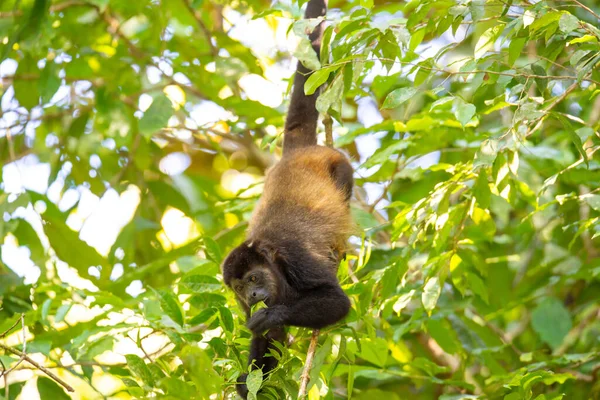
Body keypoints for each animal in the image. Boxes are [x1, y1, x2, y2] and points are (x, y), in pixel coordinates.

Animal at [220, 1, 354, 398]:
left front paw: (270, 315)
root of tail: (295, 154)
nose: (251, 297)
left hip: (338, 166)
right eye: (238, 288)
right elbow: (269, 342)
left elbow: (336, 301)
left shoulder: (294, 256)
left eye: (252, 279)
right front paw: (247, 384)